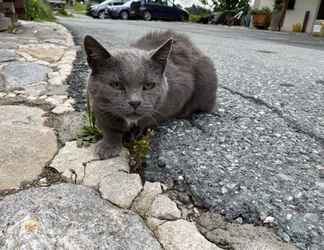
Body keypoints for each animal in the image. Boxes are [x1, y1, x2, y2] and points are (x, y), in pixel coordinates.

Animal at [83, 30, 218, 159]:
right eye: (116, 85)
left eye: (148, 85)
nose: (135, 102)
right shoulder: (98, 105)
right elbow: (109, 126)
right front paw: (108, 146)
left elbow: (148, 118)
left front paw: (135, 134)